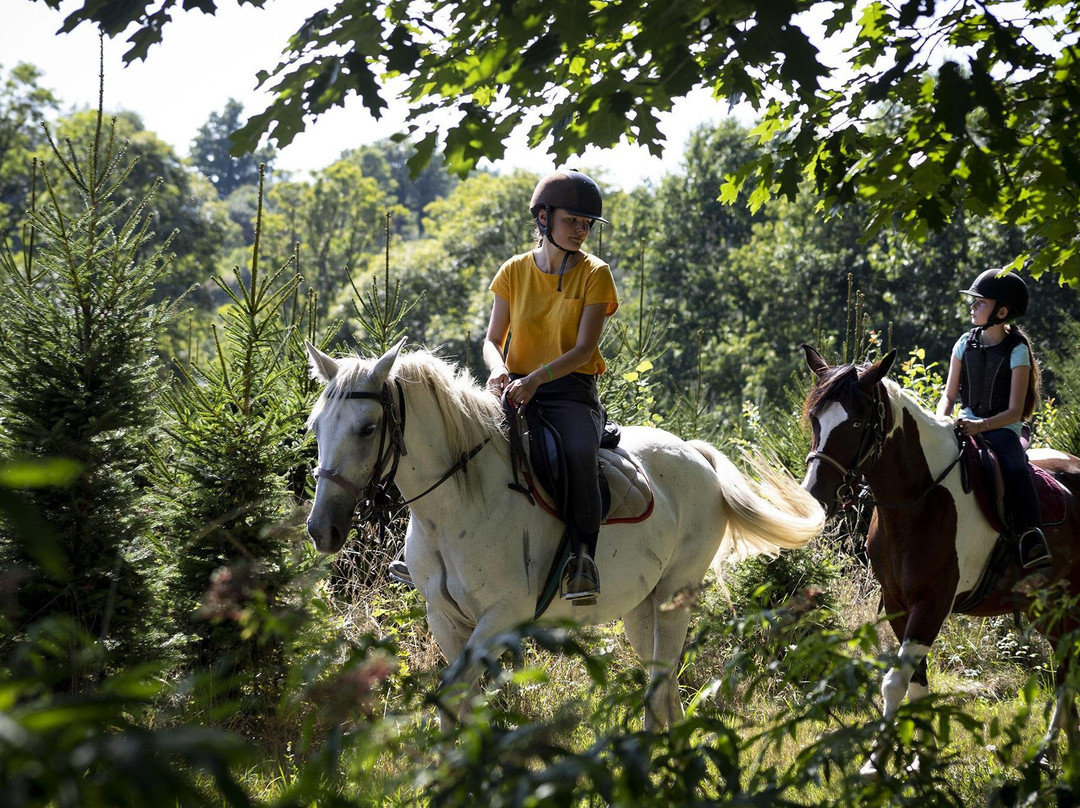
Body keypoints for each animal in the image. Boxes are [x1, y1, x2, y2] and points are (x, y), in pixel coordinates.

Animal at [306, 337, 825, 730]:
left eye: (367, 428)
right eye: (316, 427)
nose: (320, 530)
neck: (452, 507)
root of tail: (697, 454)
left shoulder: (502, 617)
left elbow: (457, 695)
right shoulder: (445, 619)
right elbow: (456, 705)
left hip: (675, 596)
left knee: (660, 688)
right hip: (642, 610)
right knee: (664, 688)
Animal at [799, 343, 1080, 773]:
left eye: (856, 423)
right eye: (815, 418)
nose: (814, 496)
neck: (922, 498)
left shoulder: (932, 604)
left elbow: (894, 683)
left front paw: (875, 764)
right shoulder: (898, 604)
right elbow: (915, 685)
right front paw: (921, 759)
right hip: (1047, 605)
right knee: (1065, 667)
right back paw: (1051, 751)